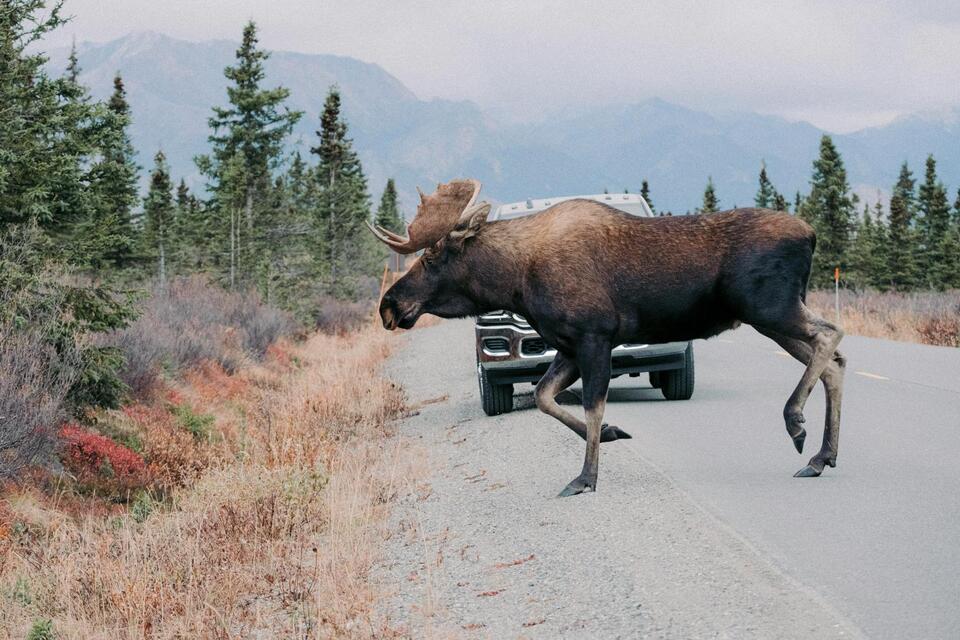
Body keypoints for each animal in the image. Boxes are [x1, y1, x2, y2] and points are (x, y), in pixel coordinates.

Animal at [368, 179, 846, 497]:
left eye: (432, 257)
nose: (388, 305)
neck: (516, 282)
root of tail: (811, 235)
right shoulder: (566, 345)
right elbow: (544, 396)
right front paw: (615, 433)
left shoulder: (594, 336)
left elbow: (591, 405)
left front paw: (585, 477)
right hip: (770, 317)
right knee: (834, 364)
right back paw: (821, 458)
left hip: (770, 308)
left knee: (831, 336)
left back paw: (795, 422)